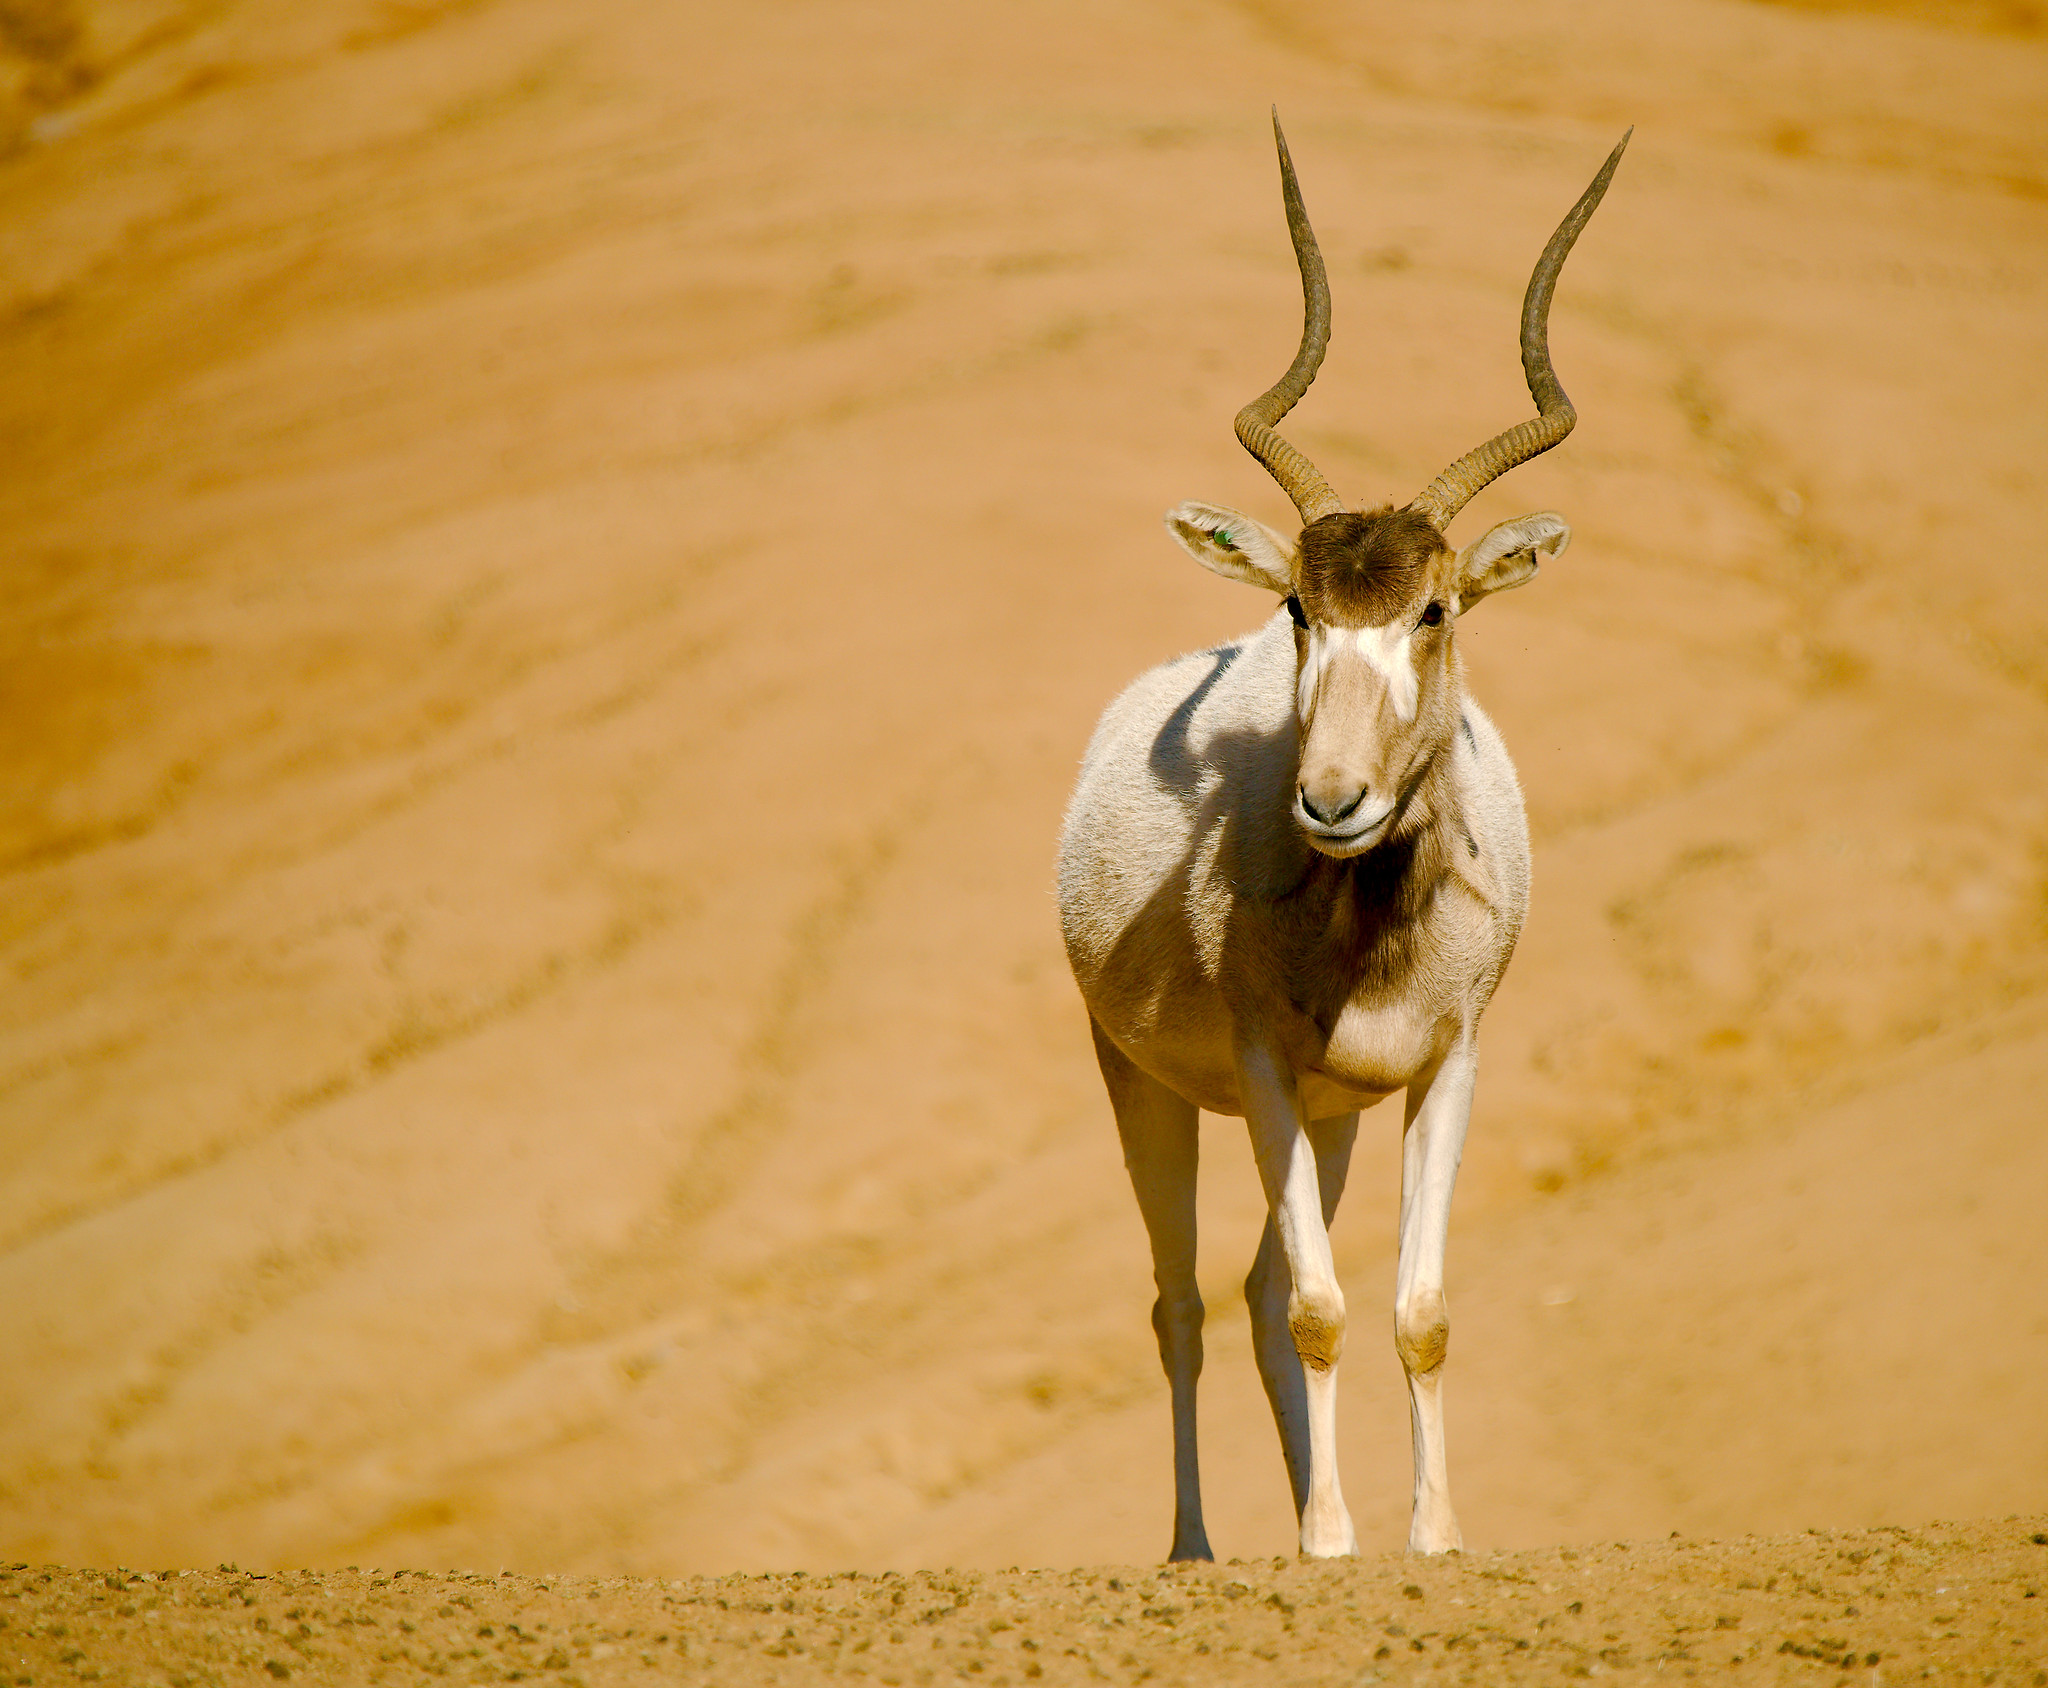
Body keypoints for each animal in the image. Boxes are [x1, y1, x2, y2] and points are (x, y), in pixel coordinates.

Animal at [1064, 115, 1622, 1556]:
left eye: (1433, 607)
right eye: (1300, 610)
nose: (1331, 800)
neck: (1365, 925)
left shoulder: (1443, 1067)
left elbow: (1414, 1315)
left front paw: (1429, 1539)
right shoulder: (1261, 1067)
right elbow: (1319, 1308)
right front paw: (1325, 1542)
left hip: (1334, 1119)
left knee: (1259, 1291)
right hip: (1149, 1085)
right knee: (1189, 1302)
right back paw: (1202, 1546)